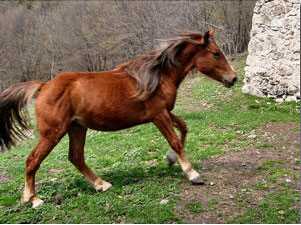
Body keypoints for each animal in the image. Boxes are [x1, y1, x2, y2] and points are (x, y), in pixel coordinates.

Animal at [0, 29, 237, 207]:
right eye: (216, 53)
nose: (233, 79)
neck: (158, 77)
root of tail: (43, 85)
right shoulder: (158, 115)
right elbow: (175, 141)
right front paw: (192, 173)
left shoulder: (165, 112)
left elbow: (184, 128)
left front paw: (171, 160)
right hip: (52, 133)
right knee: (33, 160)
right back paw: (33, 199)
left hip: (77, 128)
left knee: (76, 157)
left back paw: (101, 185)